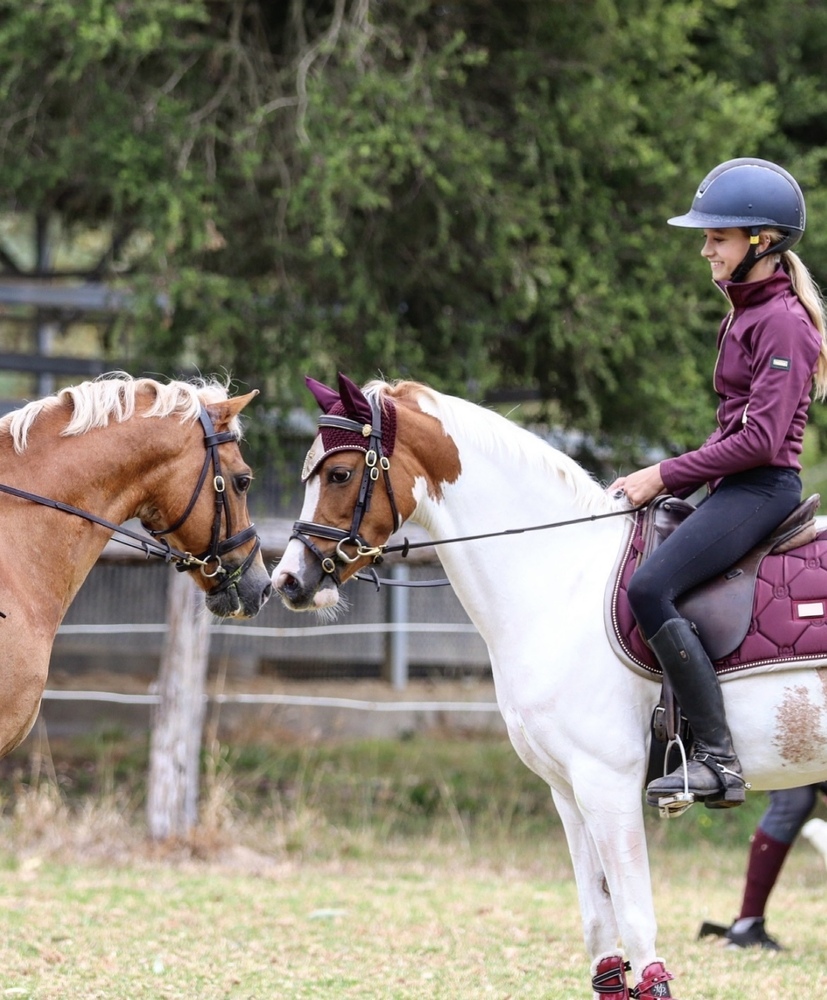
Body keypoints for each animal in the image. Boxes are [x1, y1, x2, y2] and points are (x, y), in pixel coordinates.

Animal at [272, 372, 827, 999]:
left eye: (340, 475)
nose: (287, 580)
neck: (560, 577)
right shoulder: (568, 789)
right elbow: (601, 934)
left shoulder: (608, 783)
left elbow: (638, 930)